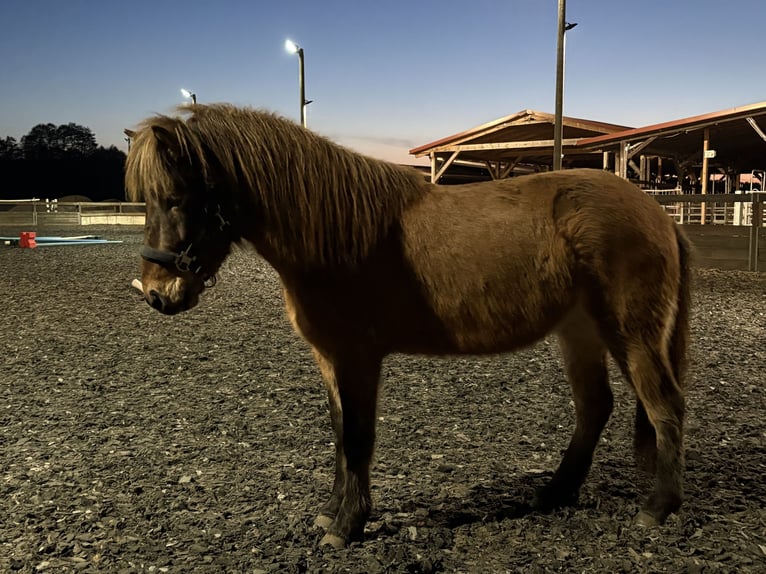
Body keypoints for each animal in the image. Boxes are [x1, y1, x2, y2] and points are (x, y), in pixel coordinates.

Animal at [125, 103, 691, 549]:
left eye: (176, 198)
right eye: (148, 201)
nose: (157, 294)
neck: (338, 236)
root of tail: (658, 213)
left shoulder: (357, 357)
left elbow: (358, 436)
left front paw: (348, 526)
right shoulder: (330, 357)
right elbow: (340, 433)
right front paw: (332, 512)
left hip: (631, 333)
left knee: (664, 405)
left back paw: (658, 508)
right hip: (579, 331)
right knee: (595, 406)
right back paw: (554, 493)